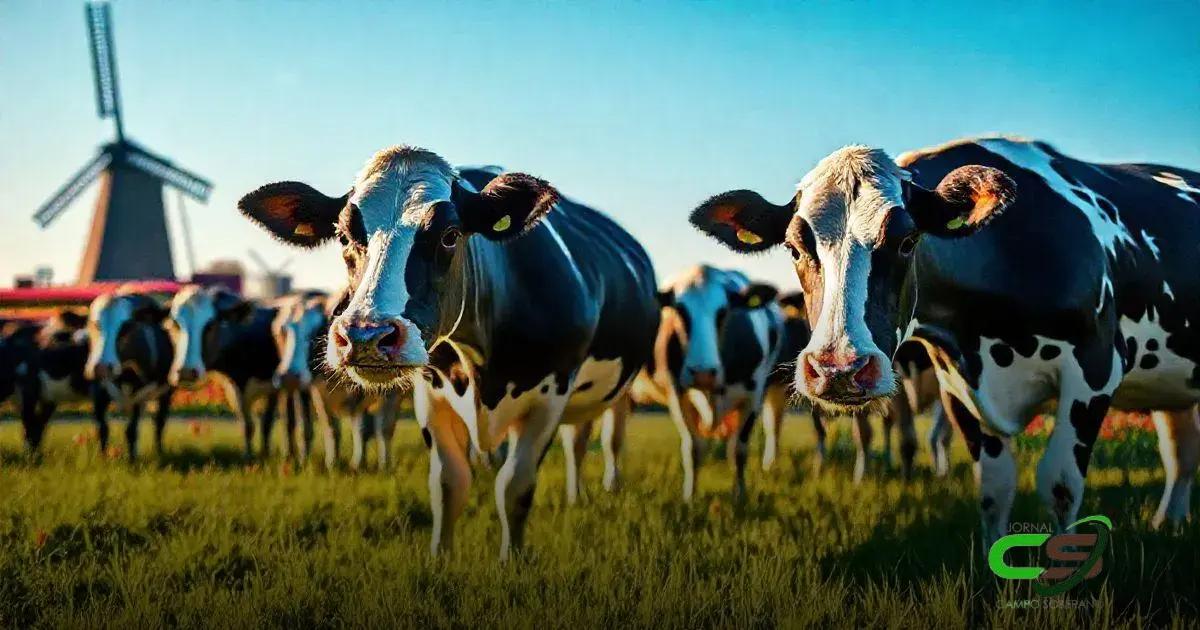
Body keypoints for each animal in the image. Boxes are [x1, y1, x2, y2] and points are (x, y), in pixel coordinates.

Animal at [84, 291, 176, 459]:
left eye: (125, 327)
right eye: (94, 324)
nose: (102, 367)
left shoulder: (139, 394)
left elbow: (131, 431)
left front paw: (132, 461)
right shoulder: (98, 391)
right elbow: (102, 428)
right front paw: (102, 459)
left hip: (166, 392)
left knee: (159, 422)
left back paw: (159, 452)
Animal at [166, 286, 285, 460]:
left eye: (210, 325)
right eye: (175, 323)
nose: (186, 372)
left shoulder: (272, 387)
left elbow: (266, 424)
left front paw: (262, 455)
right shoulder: (233, 388)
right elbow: (247, 425)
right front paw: (248, 456)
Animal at [271, 291, 400, 469]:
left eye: (315, 331)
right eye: (282, 331)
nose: (289, 377)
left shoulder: (387, 392)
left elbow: (381, 428)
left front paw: (381, 465)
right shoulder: (317, 390)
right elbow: (328, 427)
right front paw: (331, 464)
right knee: (290, 422)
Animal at [632, 265, 784, 501]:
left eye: (723, 312)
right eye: (679, 311)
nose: (702, 373)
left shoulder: (754, 396)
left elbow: (738, 449)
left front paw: (740, 496)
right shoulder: (677, 393)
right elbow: (694, 448)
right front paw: (690, 497)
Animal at [690, 135, 1200, 547]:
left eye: (907, 240)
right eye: (795, 248)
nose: (839, 368)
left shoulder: (1094, 368)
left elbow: (1059, 485)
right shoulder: (958, 387)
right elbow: (994, 489)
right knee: (1180, 452)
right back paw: (1168, 523)